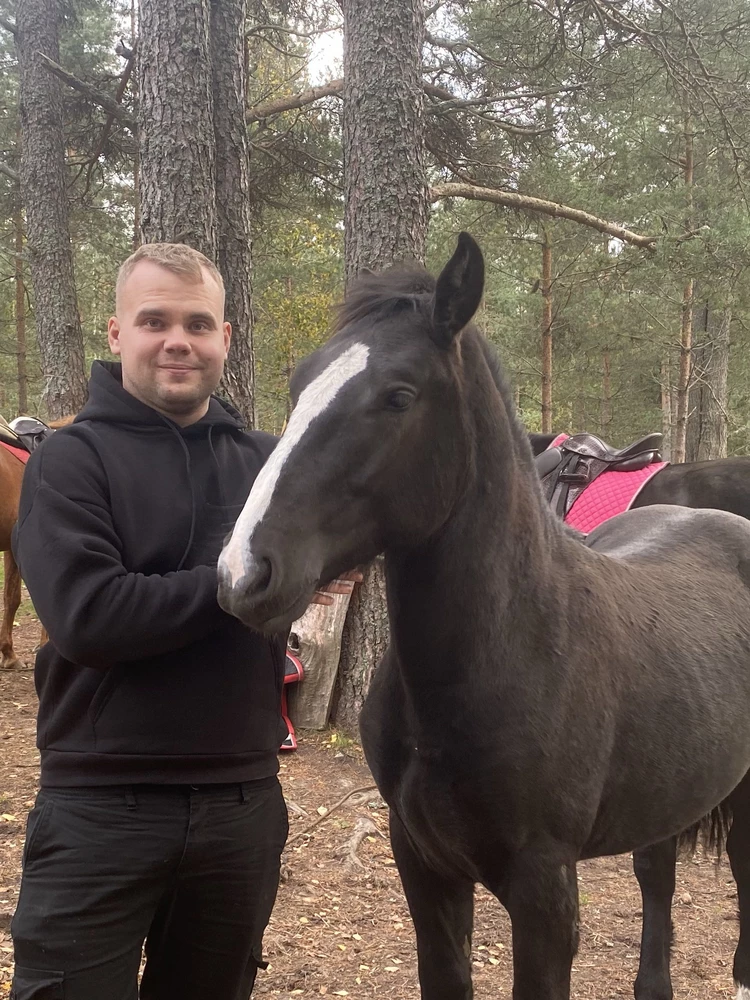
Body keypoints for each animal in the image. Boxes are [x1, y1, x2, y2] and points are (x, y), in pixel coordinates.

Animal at [216, 234, 750, 1000]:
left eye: (399, 396)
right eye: (298, 387)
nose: (242, 573)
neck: (509, 651)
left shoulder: (545, 896)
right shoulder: (424, 865)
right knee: (657, 875)